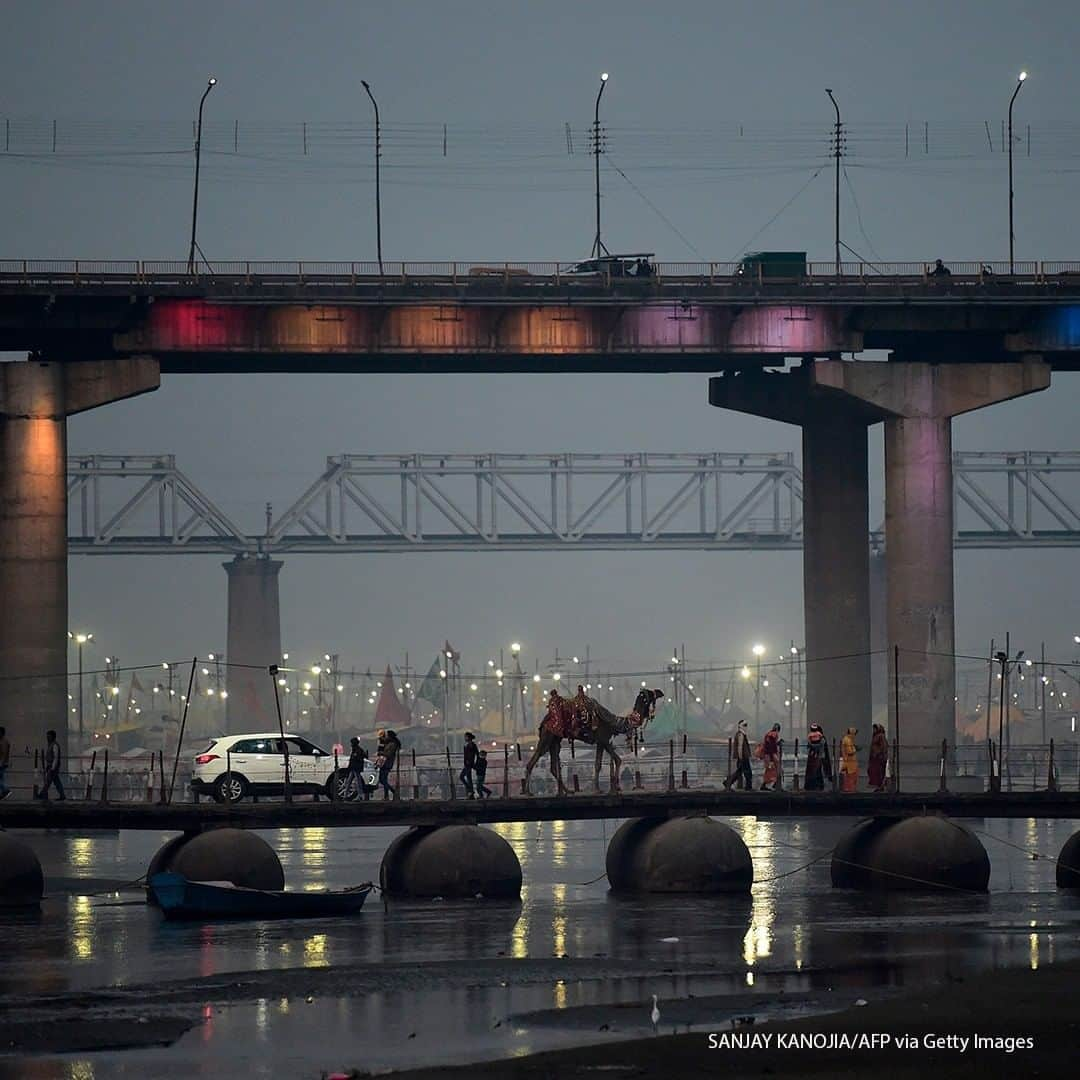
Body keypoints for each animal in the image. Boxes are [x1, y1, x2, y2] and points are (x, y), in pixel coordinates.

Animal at [520, 682, 660, 794]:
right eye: (649, 693)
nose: (660, 692)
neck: (614, 722)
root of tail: (544, 721)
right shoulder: (604, 739)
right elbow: (618, 759)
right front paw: (616, 787)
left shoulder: (600, 742)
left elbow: (598, 764)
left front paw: (598, 789)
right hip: (547, 736)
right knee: (534, 759)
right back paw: (528, 792)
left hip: (555, 740)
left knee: (553, 766)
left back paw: (567, 791)